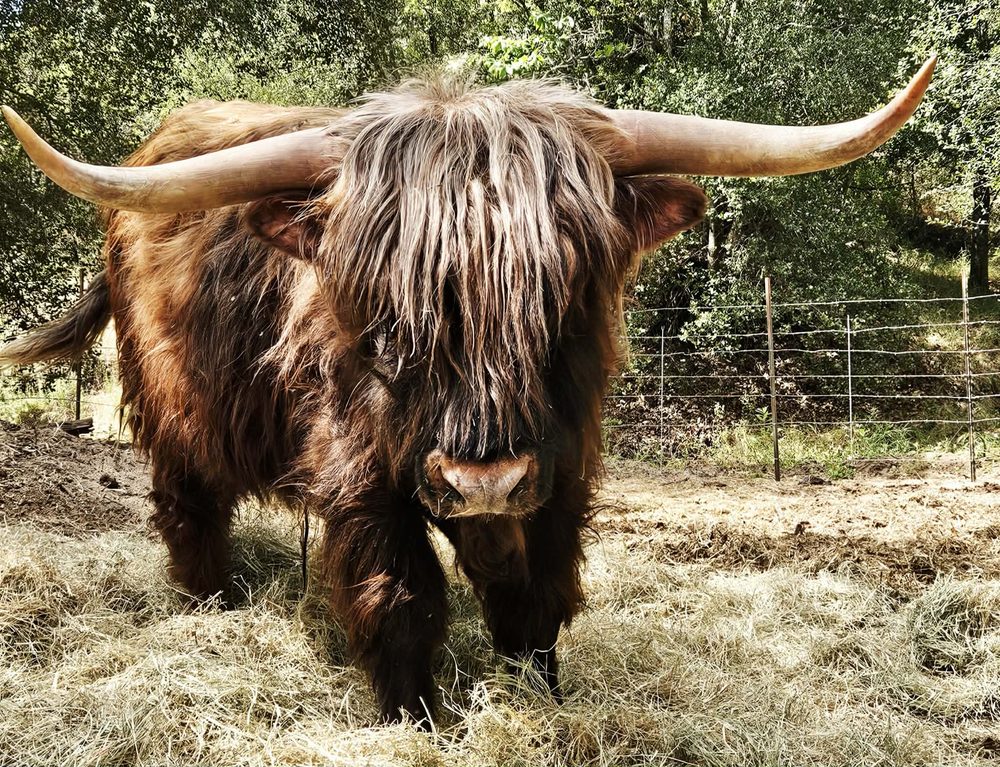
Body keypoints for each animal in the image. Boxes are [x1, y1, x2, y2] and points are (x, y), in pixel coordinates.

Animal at [0, 58, 934, 725]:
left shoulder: (563, 469)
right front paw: (416, 718)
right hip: (172, 407)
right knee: (187, 506)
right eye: (389, 314)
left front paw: (540, 698)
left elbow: (538, 597)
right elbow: (402, 596)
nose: (482, 478)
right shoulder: (363, 478)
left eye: (560, 295)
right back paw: (211, 605)